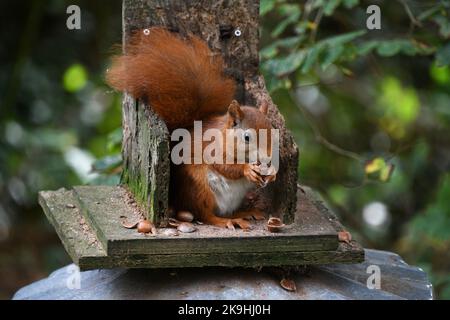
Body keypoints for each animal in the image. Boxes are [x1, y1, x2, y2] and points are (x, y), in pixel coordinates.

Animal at [107, 26, 276, 228]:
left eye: (274, 133)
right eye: (247, 137)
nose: (267, 158)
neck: (225, 136)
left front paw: (272, 173)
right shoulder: (212, 147)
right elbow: (224, 165)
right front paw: (246, 169)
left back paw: (245, 212)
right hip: (200, 187)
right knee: (205, 215)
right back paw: (227, 220)